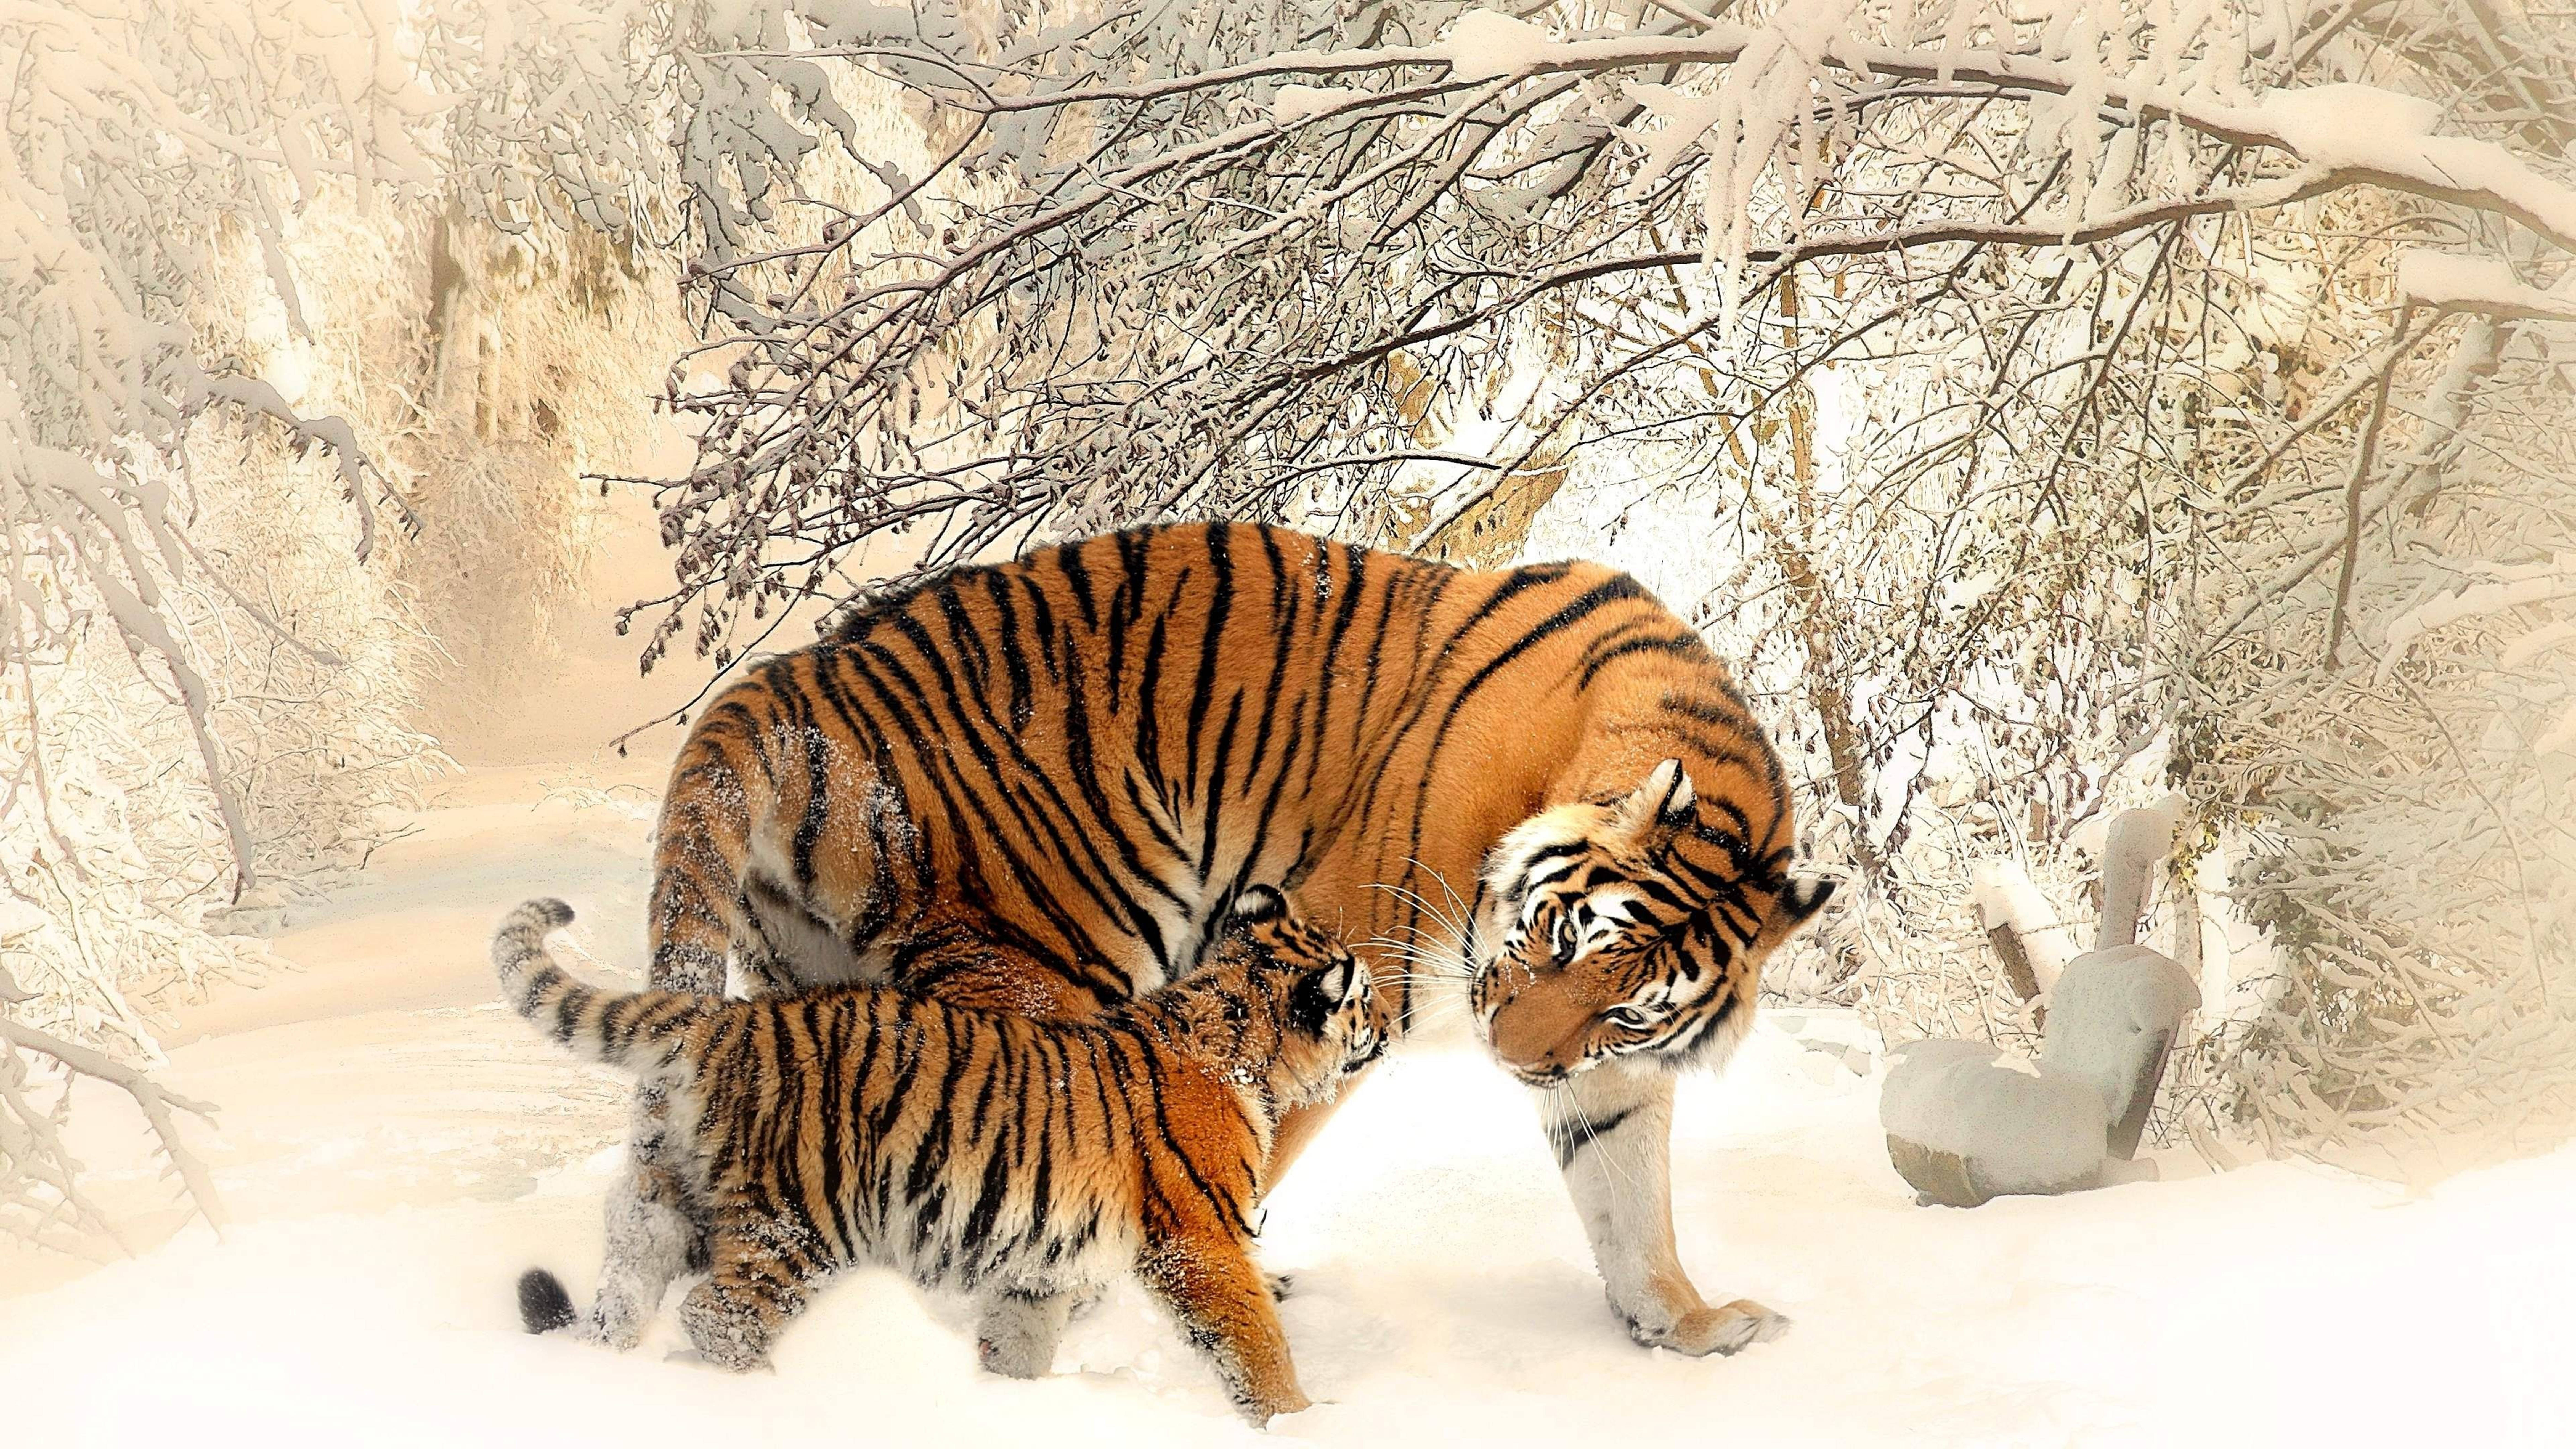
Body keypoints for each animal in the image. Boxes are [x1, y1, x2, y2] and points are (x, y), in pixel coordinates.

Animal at [495, 885, 1385, 1423]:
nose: (1385, 1027)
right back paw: (769, 1399)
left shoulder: (1042, 1261)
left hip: (673, 1201)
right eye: (1365, 997)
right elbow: (1254, 1340)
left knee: (629, 1282)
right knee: (718, 1314)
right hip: (799, 1220)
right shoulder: (1200, 1242)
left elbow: (1021, 1338)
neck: (1239, 1042)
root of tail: (729, 1020)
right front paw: (1299, 1420)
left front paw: (1006, 1403)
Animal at [612, 521, 1833, 1368]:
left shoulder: (1608, 1071)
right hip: (1046, 960)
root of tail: (789, 676)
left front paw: (1685, 1324)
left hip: (817, 990)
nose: (1514, 1060)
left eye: (1624, 1005)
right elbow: (1238, 1151)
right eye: (1556, 938)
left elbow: (1629, 1197)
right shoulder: (1338, 967)